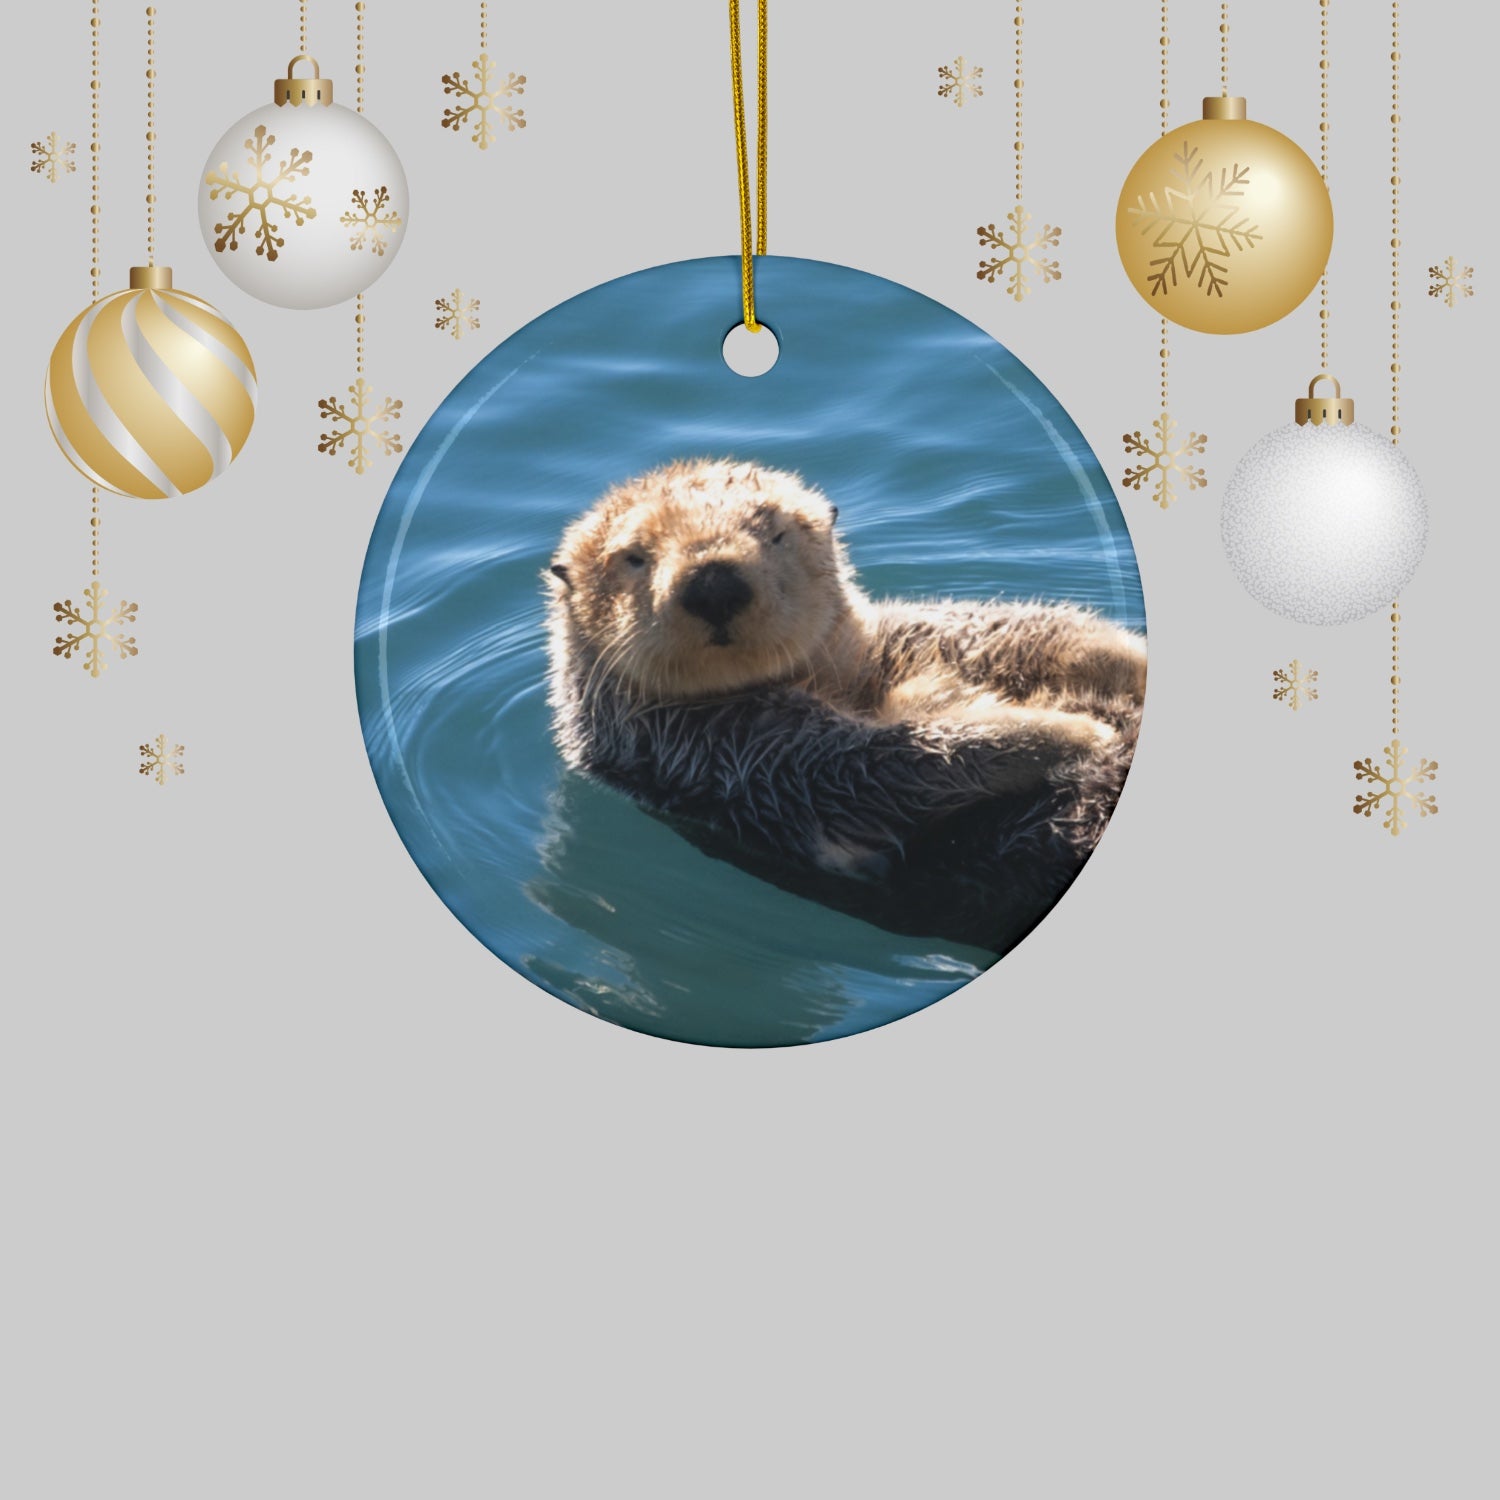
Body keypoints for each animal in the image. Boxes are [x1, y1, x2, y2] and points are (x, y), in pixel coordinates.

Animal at [545, 459, 1144, 952]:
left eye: (775, 533)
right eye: (634, 557)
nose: (713, 582)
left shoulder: (884, 644)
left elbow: (988, 631)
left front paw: (1120, 654)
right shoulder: (727, 754)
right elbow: (878, 763)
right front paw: (1074, 734)